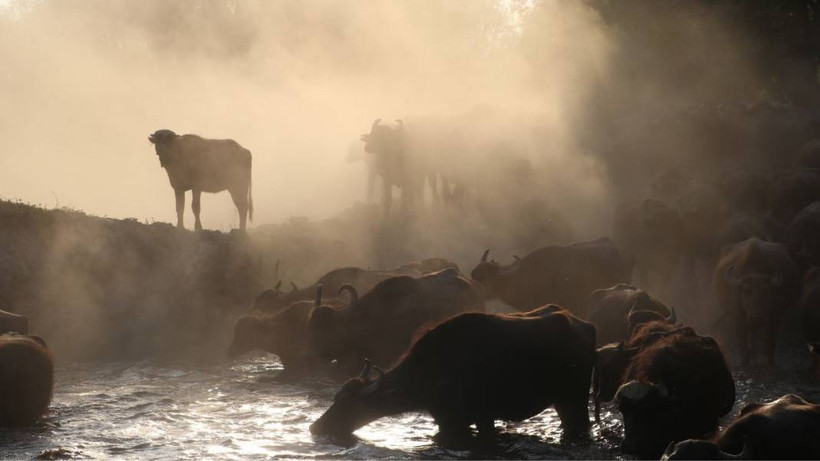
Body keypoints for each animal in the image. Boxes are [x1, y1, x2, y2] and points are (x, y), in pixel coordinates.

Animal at [308, 306, 596, 438]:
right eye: (336, 398)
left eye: (349, 404)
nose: (316, 426)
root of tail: (584, 325)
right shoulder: (448, 420)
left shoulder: (475, 418)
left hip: (576, 398)